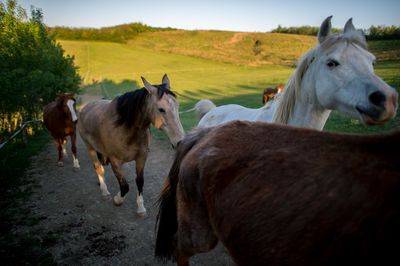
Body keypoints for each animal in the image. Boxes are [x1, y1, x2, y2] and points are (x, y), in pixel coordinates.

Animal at [78, 74, 184, 216]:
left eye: (177, 106)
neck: (124, 128)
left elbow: (139, 181)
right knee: (98, 168)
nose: (180, 141)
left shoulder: (141, 158)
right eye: (161, 109)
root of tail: (86, 107)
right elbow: (124, 186)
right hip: (89, 147)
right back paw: (104, 191)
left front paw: (140, 207)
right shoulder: (115, 161)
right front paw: (117, 200)